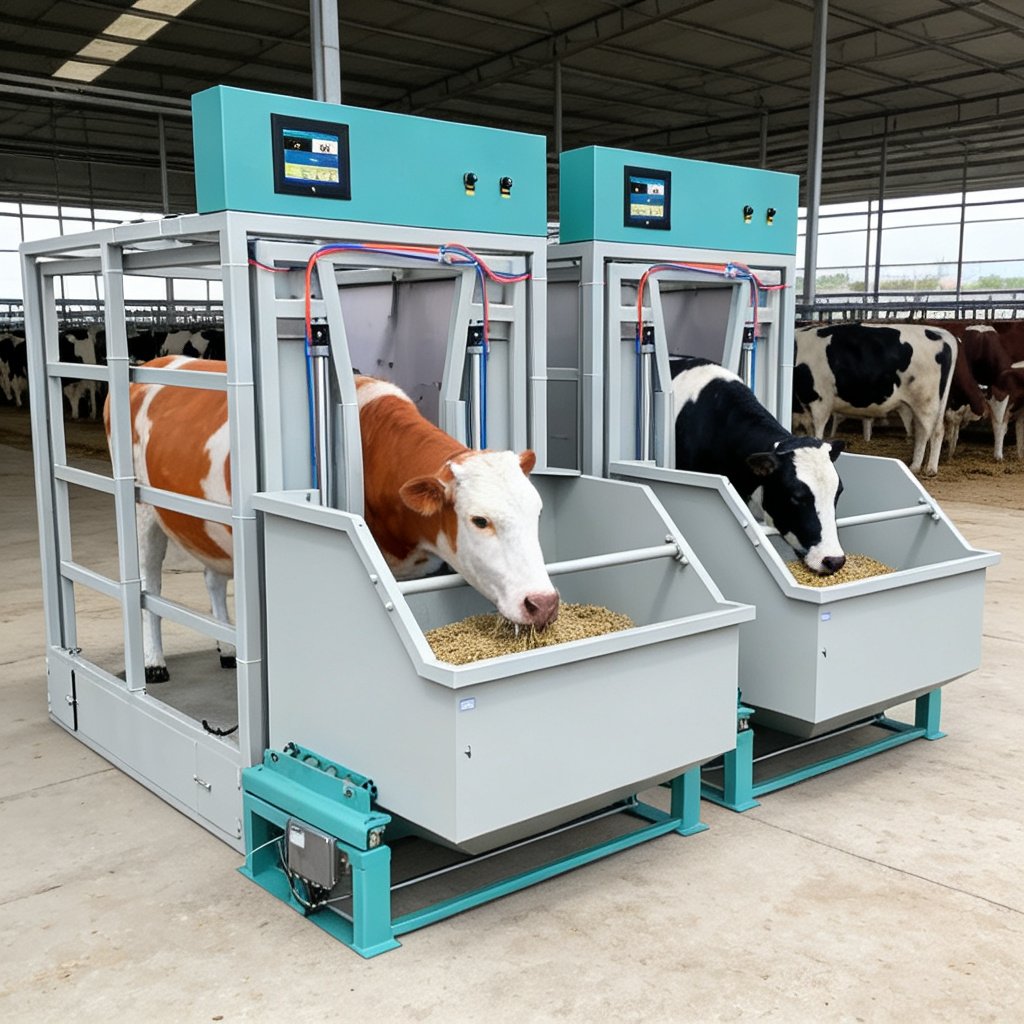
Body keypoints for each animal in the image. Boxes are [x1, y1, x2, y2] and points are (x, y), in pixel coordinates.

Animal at [107, 358, 559, 682]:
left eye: (537, 511)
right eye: (479, 520)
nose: (543, 603)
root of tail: (155, 362)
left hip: (211, 525)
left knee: (213, 577)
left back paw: (229, 650)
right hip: (143, 511)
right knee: (149, 585)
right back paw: (153, 662)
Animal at [793, 322, 954, 476]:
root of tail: (940, 333)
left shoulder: (819, 401)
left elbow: (817, 433)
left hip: (927, 402)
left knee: (936, 431)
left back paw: (931, 469)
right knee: (922, 432)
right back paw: (914, 466)